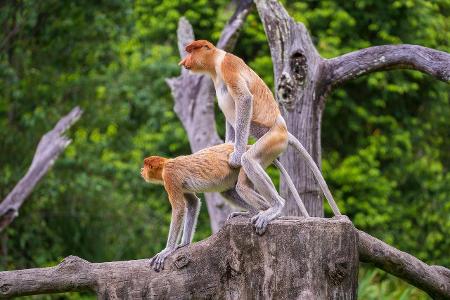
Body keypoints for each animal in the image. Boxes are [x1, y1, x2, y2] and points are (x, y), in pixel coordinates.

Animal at [142, 143, 310, 272]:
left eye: (145, 165)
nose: (141, 171)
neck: (165, 164)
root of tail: (247, 147)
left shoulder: (170, 177)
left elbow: (179, 208)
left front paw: (166, 251)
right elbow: (192, 203)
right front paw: (184, 244)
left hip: (243, 165)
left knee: (242, 187)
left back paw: (272, 210)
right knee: (227, 192)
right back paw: (252, 213)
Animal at [179, 39, 342, 231]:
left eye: (191, 51)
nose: (183, 62)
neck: (216, 64)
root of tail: (285, 131)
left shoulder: (228, 66)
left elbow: (244, 99)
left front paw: (235, 156)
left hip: (273, 140)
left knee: (249, 160)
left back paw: (275, 207)